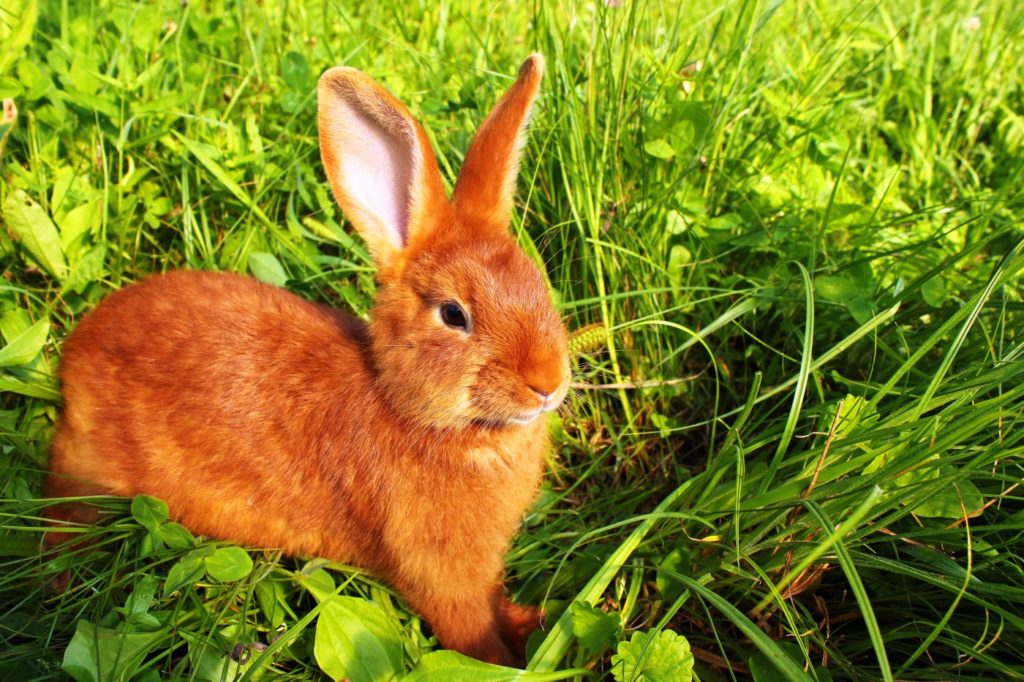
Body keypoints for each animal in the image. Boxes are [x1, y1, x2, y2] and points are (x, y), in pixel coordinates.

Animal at [46, 54, 569, 663]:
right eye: (453, 314)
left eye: (537, 281)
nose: (548, 382)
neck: (408, 410)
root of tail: (79, 348)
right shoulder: (440, 574)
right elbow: (469, 629)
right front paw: (509, 663)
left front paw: (533, 622)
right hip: (88, 471)